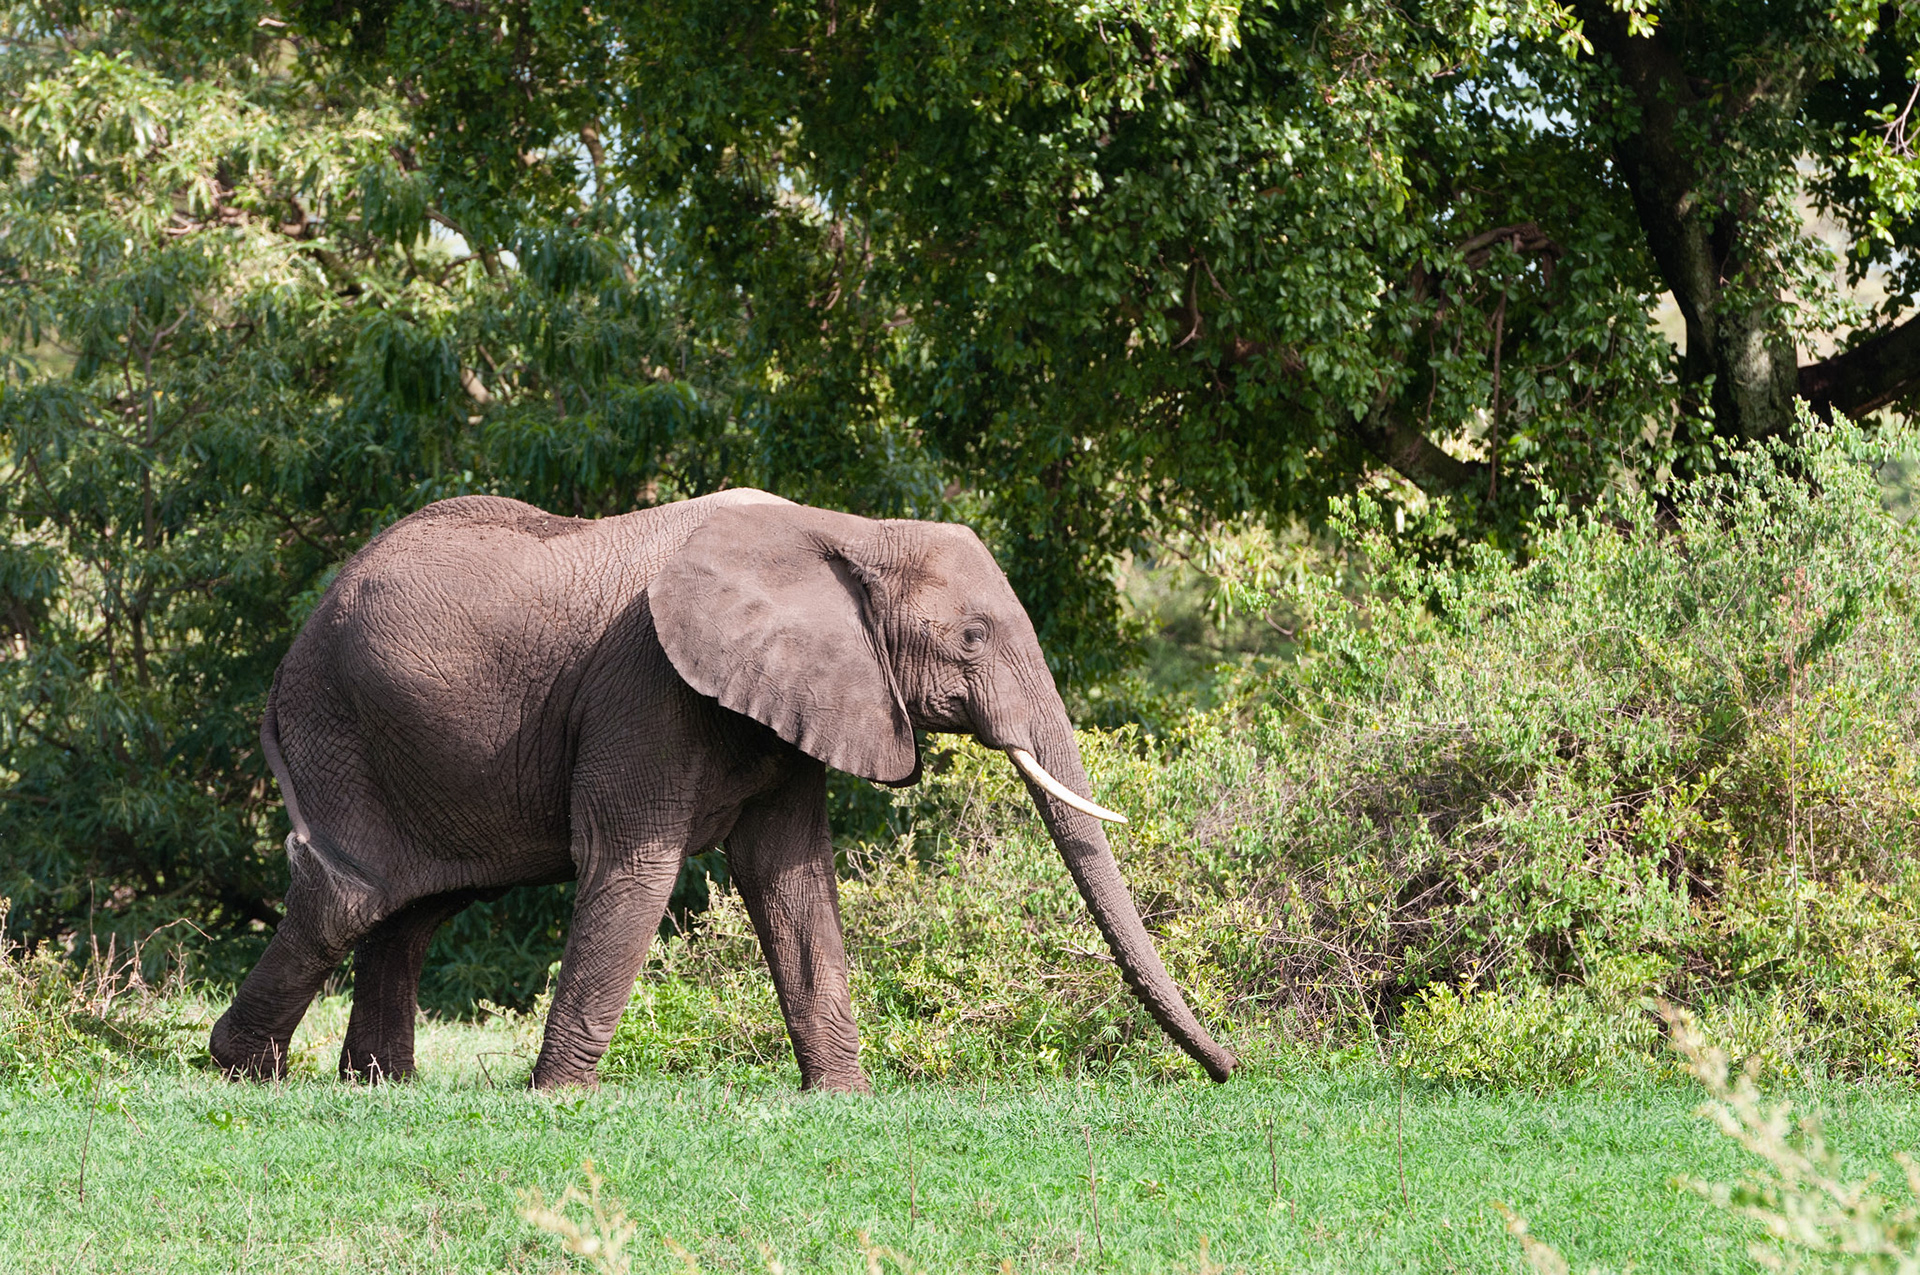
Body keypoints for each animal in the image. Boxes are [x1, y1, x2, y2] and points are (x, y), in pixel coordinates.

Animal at [209, 489, 1237, 1091]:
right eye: (973, 639)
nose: (1232, 1069)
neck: (849, 531)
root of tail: (287, 657)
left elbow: (792, 876)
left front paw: (842, 1098)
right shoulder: (646, 684)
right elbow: (634, 865)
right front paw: (558, 1098)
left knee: (416, 908)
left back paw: (378, 1085)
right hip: (343, 725)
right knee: (354, 894)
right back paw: (243, 1071)